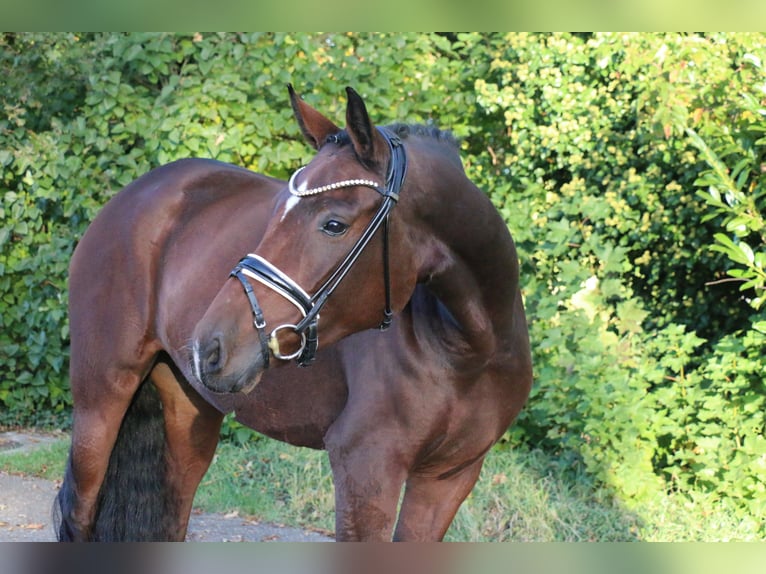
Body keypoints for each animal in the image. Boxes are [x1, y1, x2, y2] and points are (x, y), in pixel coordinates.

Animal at [54, 83, 536, 544]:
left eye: (334, 224)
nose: (209, 345)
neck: (465, 348)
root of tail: (136, 193)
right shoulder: (367, 469)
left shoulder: (448, 478)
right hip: (101, 399)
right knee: (77, 514)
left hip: (187, 410)